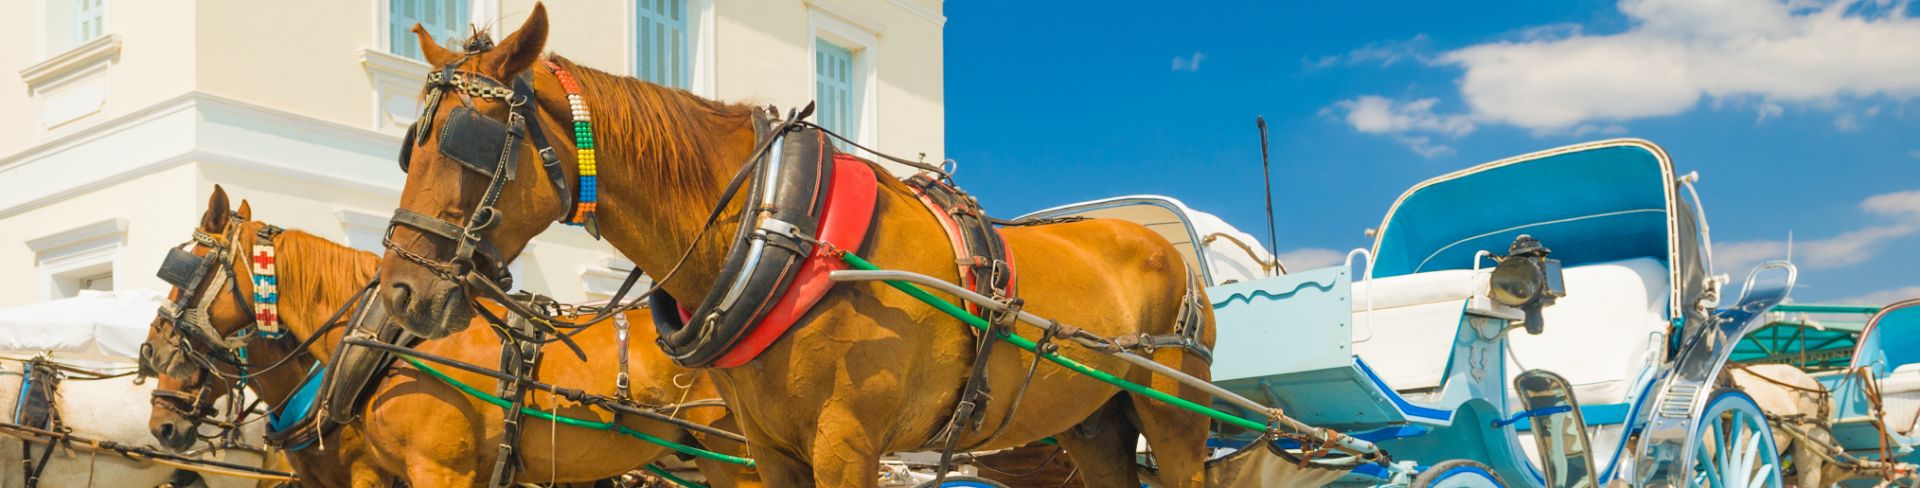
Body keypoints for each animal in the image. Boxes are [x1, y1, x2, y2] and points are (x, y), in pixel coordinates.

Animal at [375, 5, 1214, 487]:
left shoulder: (847, 444)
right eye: (410, 145)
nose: (401, 291)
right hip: (1094, 426)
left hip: (1176, 414)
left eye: (466, 141)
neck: (778, 231)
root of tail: (1169, 248)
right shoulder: (772, 450)